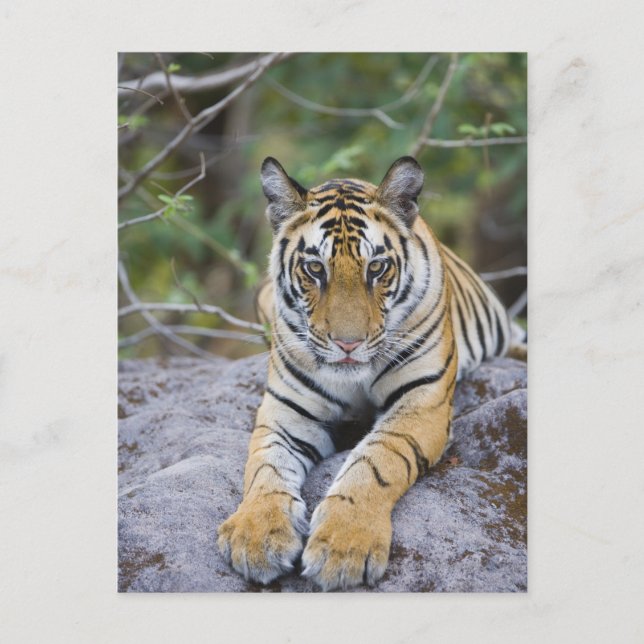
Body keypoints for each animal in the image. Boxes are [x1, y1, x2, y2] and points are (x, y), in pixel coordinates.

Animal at [218, 156, 525, 591]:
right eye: (315, 268)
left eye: (376, 267)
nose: (348, 344)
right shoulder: (285, 412)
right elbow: (265, 466)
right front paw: (256, 535)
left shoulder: (422, 403)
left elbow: (375, 461)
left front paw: (344, 546)